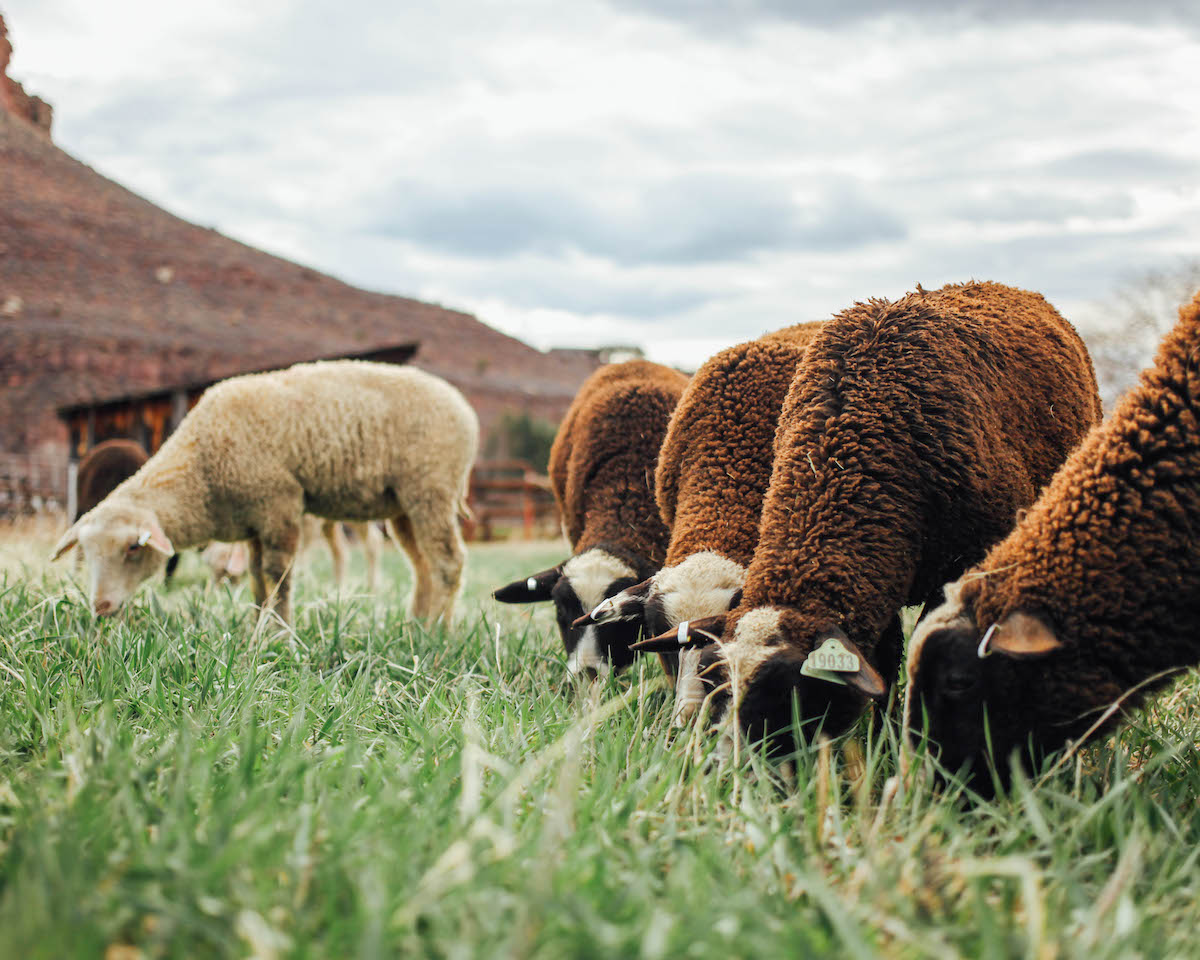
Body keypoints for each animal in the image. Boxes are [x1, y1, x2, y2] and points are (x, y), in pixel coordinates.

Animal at [52, 360, 477, 624]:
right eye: (86, 552)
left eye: (133, 548)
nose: (101, 607)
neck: (202, 470)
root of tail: (465, 410)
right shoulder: (254, 522)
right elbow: (257, 580)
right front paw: (257, 628)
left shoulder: (279, 507)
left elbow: (279, 577)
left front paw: (279, 635)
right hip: (404, 504)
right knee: (423, 566)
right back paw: (415, 625)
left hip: (431, 488)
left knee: (449, 563)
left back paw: (439, 633)